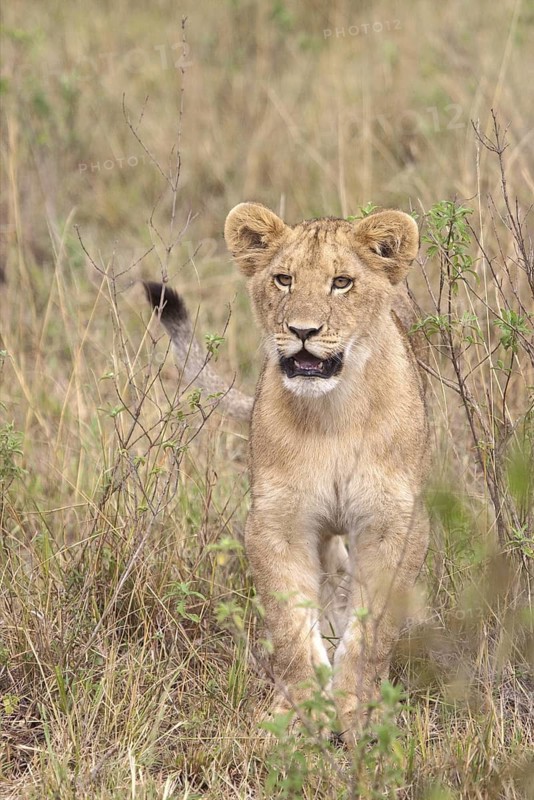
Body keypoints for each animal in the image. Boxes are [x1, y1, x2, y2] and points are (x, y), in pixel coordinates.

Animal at [145, 202, 429, 746]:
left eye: (341, 282)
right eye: (283, 279)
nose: (302, 331)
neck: (334, 414)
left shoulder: (394, 523)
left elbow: (372, 631)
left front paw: (355, 709)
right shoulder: (278, 522)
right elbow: (291, 626)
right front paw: (303, 711)